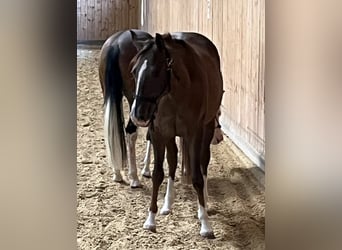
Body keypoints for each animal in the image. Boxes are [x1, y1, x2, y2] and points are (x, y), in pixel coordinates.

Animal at [130, 31, 223, 238]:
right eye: (133, 71)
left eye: (156, 72)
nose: (138, 115)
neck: (174, 95)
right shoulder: (158, 133)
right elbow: (158, 174)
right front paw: (150, 220)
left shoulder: (194, 134)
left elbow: (197, 177)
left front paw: (205, 224)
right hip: (170, 135)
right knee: (172, 162)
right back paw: (167, 204)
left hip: (207, 129)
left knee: (203, 163)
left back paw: (204, 203)